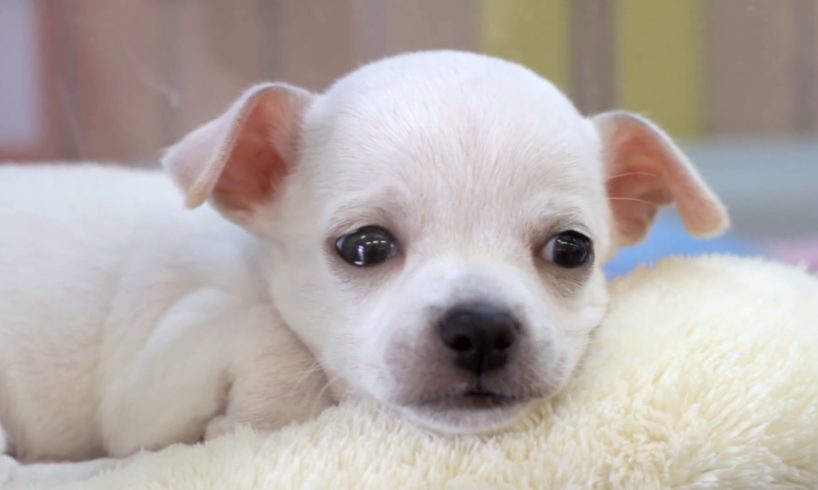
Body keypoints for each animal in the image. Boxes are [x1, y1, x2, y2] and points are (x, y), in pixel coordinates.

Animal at [0, 51, 728, 484]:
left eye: (572, 249)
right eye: (363, 247)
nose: (481, 327)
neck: (254, 268)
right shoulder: (143, 393)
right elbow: (269, 343)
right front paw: (246, 421)